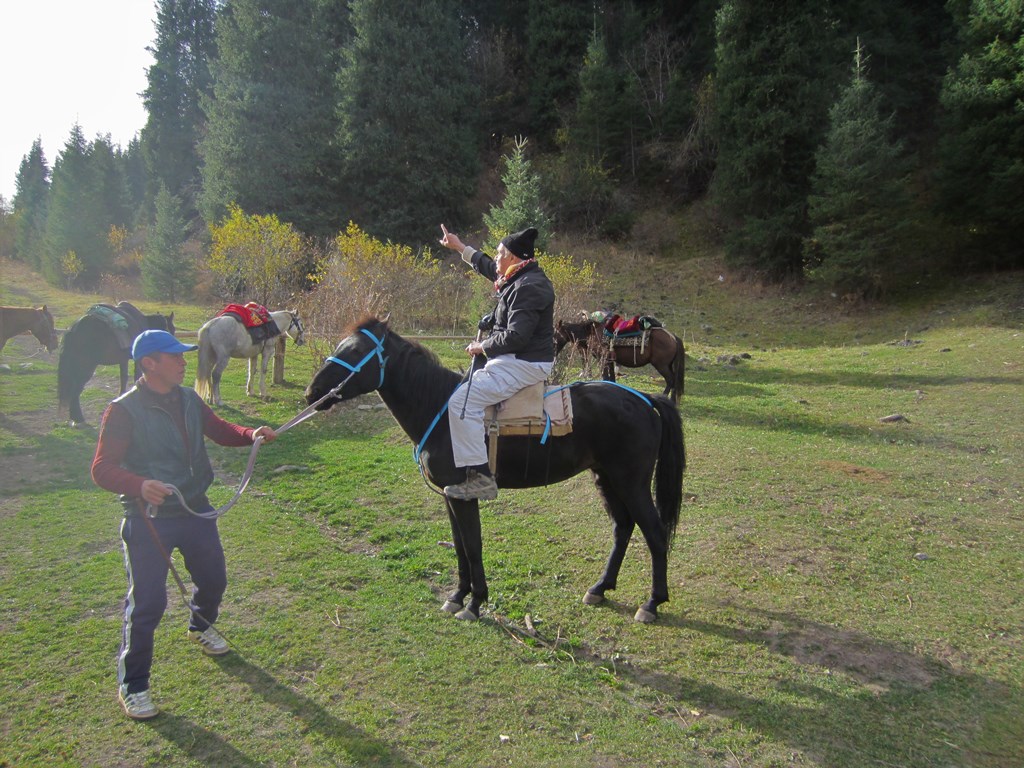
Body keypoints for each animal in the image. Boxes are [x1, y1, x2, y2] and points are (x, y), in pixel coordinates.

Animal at [303, 319, 688, 626]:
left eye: (356, 352)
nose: (312, 393)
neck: (440, 409)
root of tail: (645, 399)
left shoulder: (464, 495)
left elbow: (473, 546)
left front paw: (474, 603)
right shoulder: (451, 495)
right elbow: (460, 546)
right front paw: (457, 596)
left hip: (631, 482)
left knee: (654, 533)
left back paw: (652, 603)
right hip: (606, 478)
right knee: (623, 527)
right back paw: (601, 588)